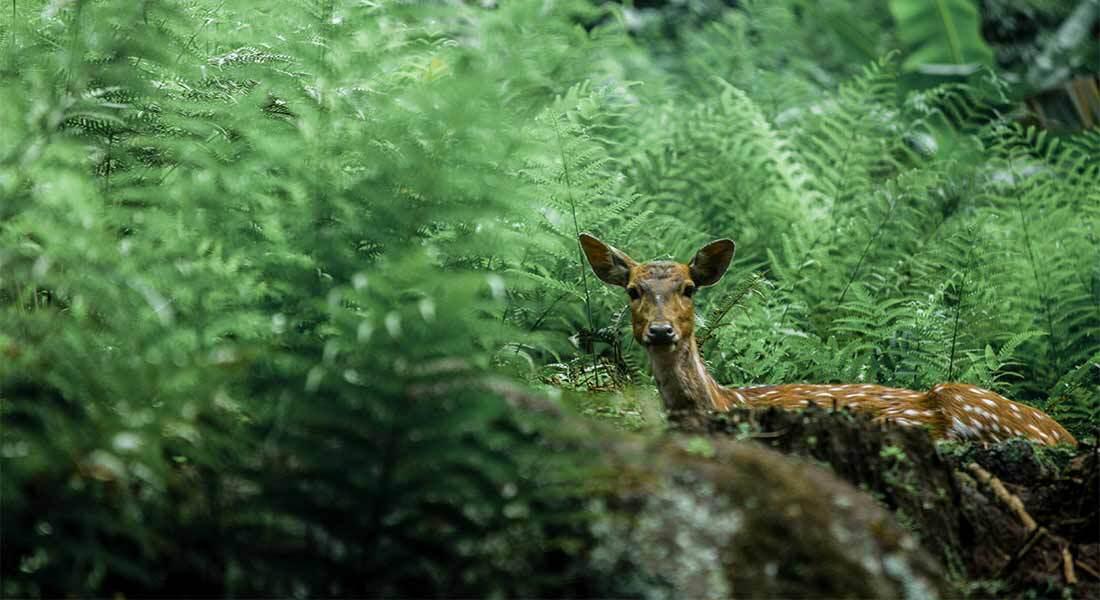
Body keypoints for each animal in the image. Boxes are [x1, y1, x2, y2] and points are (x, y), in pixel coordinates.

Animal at [578, 233, 1078, 447]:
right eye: (633, 290)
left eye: (688, 288)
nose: (661, 330)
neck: (722, 402)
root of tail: (1066, 435)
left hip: (971, 402)